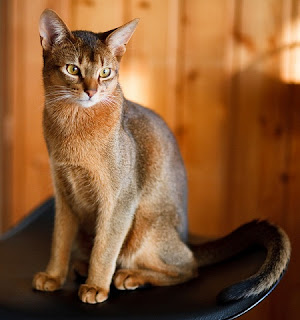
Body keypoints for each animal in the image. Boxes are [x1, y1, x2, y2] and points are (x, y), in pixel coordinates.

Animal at [32, 8, 290, 304]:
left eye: (105, 72)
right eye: (73, 69)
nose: (91, 91)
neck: (73, 123)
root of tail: (185, 238)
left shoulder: (120, 199)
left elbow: (105, 248)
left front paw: (96, 286)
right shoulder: (64, 194)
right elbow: (59, 240)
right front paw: (53, 276)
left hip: (145, 230)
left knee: (189, 267)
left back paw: (130, 276)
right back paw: (85, 267)